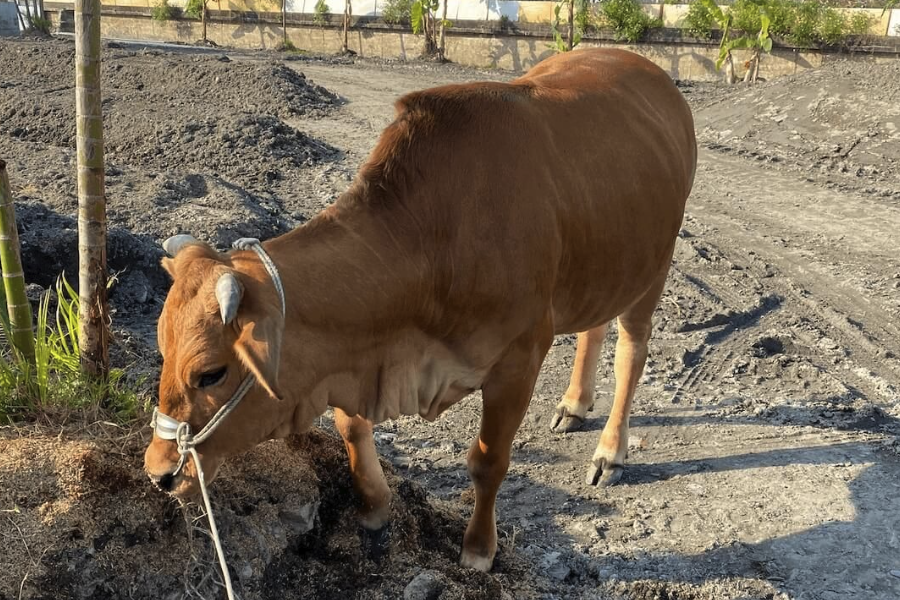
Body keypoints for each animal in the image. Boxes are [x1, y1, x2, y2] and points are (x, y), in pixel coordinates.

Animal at [146, 47, 696, 572]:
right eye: (162, 353)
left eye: (211, 373)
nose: (159, 473)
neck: (431, 241)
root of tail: (650, 71)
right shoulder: (351, 354)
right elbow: (352, 428)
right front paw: (374, 509)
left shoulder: (519, 359)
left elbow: (488, 461)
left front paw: (478, 550)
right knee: (593, 328)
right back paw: (575, 404)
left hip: (655, 264)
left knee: (632, 350)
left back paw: (610, 450)